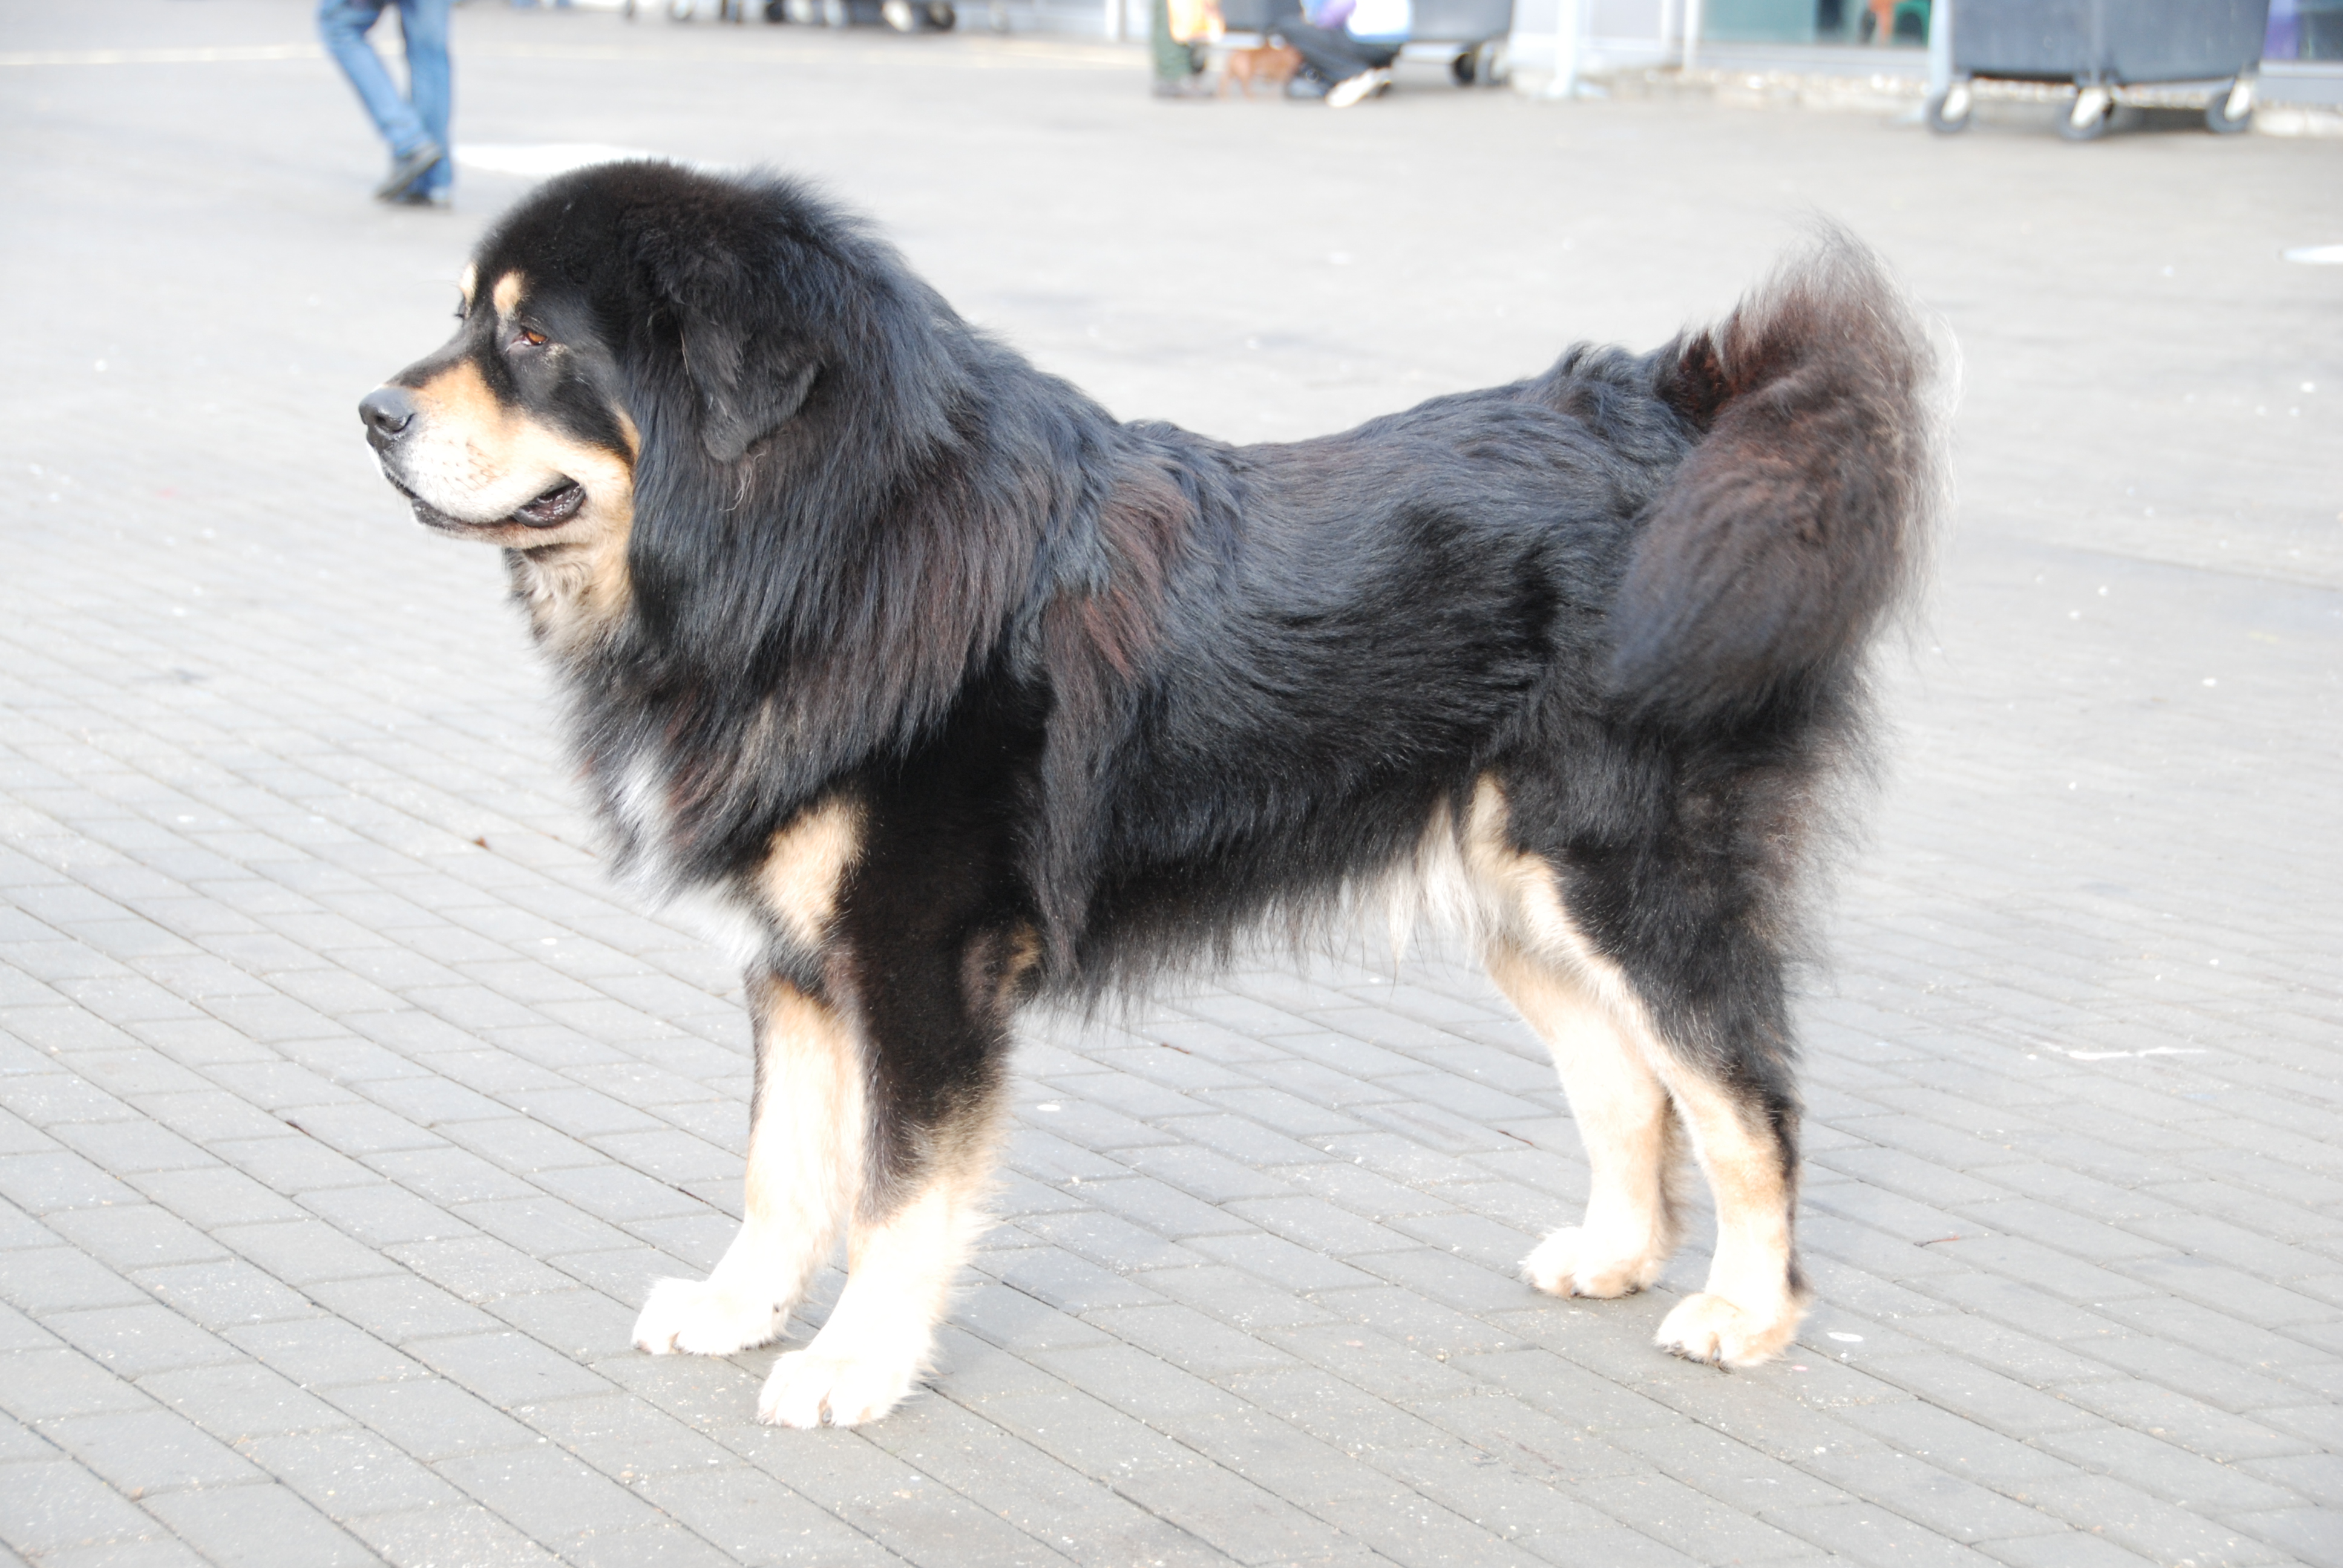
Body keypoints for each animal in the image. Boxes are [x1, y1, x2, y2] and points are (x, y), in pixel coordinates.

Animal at [361, 165, 1940, 1425]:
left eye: (534, 340)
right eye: (467, 316)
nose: (372, 410)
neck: (824, 551)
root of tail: (1672, 406)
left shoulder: (917, 961)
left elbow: (892, 1190)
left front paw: (854, 1364)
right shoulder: (799, 960)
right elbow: (779, 1166)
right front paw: (738, 1306)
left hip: (1631, 877)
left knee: (1744, 1099)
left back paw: (1749, 1311)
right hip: (1520, 887)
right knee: (1626, 1083)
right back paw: (1614, 1256)